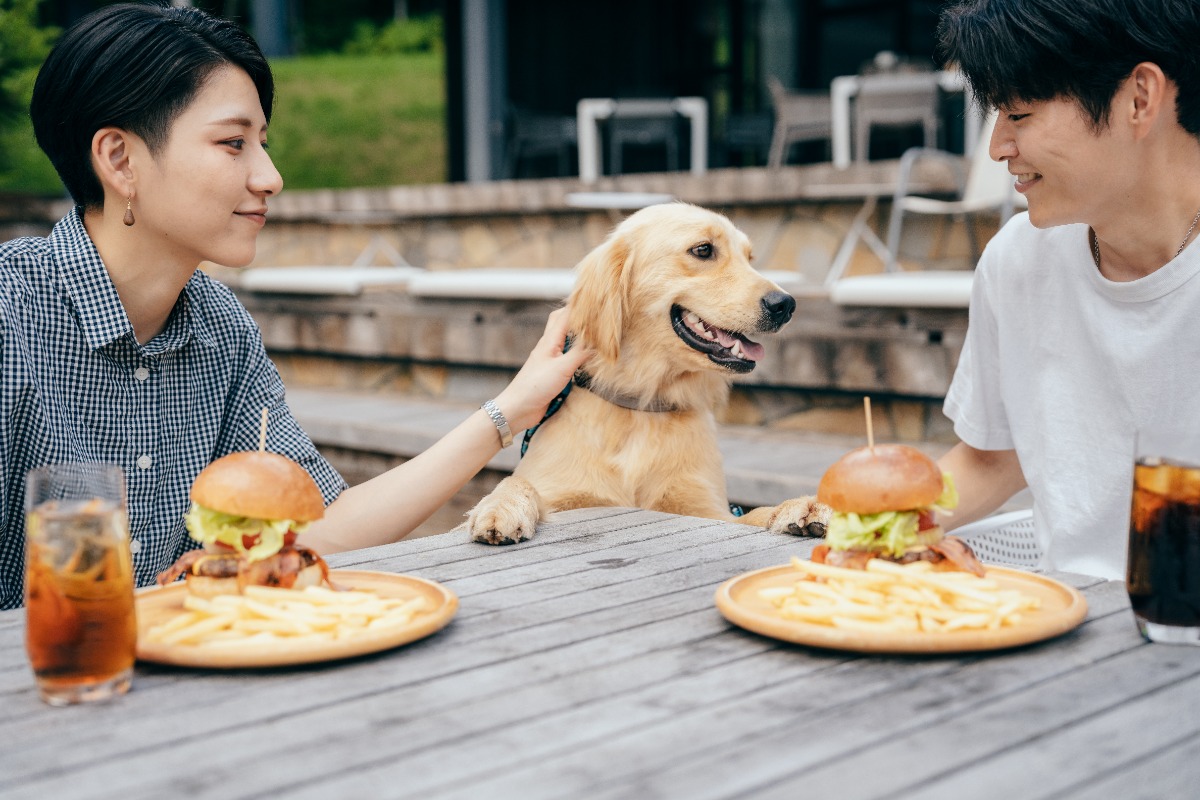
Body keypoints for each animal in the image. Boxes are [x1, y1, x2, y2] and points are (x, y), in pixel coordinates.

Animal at [463, 203, 830, 546]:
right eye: (703, 250)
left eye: (750, 257)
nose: (785, 304)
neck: (642, 405)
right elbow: (518, 480)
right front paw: (501, 507)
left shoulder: (708, 508)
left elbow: (751, 515)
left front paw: (798, 508)